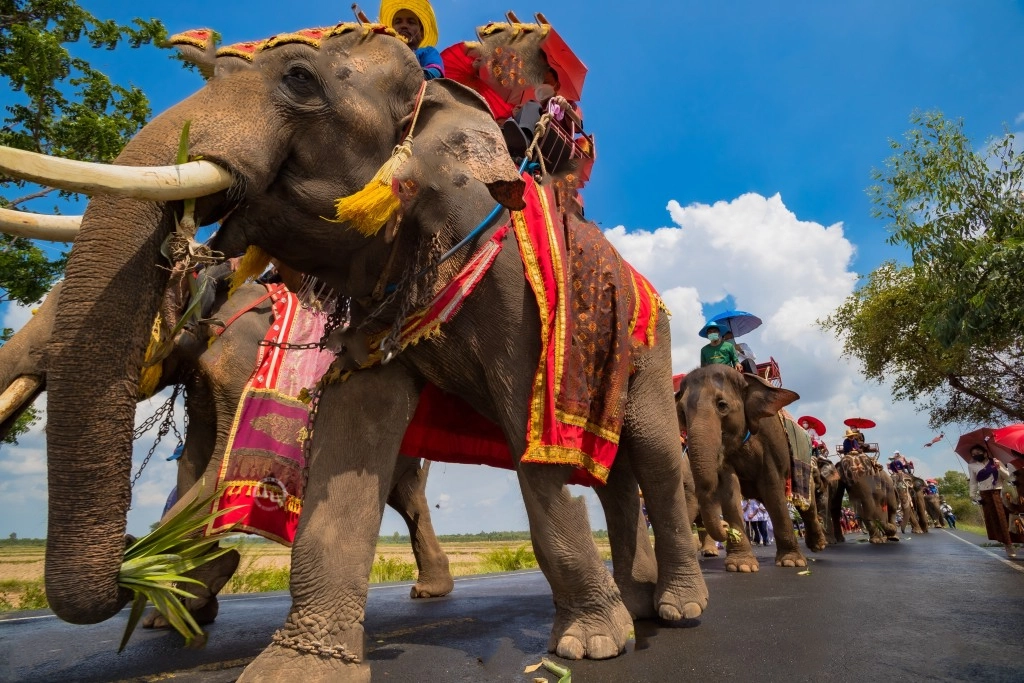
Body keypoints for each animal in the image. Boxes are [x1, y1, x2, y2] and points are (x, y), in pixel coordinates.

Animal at [1, 20, 707, 680]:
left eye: (299, 80)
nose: (128, 560)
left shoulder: (512, 281)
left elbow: (528, 435)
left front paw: (592, 645)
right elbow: (352, 432)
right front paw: (294, 665)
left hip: (651, 345)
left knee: (654, 455)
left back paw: (677, 608)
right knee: (615, 471)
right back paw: (634, 600)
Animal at [677, 365, 827, 573]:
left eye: (722, 405)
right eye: (681, 412)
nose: (725, 526)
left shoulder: (771, 440)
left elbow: (773, 488)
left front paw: (791, 562)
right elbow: (729, 490)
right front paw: (741, 566)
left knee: (807, 503)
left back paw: (818, 545)